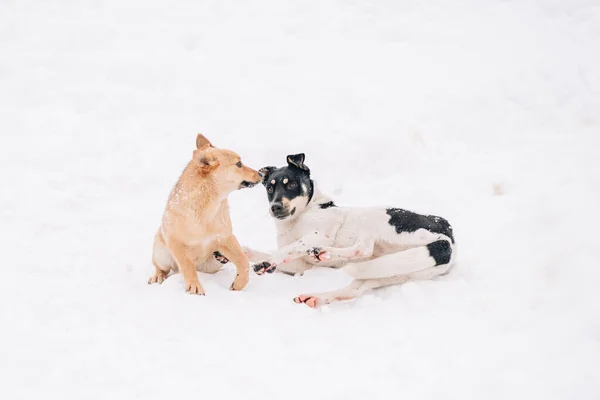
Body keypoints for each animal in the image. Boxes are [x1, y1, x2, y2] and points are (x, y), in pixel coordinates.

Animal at [149, 134, 262, 294]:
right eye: (239, 164)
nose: (261, 173)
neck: (208, 208)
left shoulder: (225, 237)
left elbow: (243, 260)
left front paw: (239, 283)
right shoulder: (176, 243)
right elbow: (188, 266)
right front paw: (194, 286)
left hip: (213, 263)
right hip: (161, 252)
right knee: (162, 267)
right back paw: (158, 276)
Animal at [244, 155, 454, 308]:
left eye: (292, 184)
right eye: (270, 188)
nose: (275, 207)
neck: (298, 217)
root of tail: (449, 239)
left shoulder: (320, 235)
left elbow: (288, 249)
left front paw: (267, 262)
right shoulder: (301, 265)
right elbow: (276, 253)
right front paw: (248, 253)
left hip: (374, 215)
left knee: (363, 249)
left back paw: (323, 253)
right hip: (388, 271)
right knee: (354, 290)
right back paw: (316, 297)